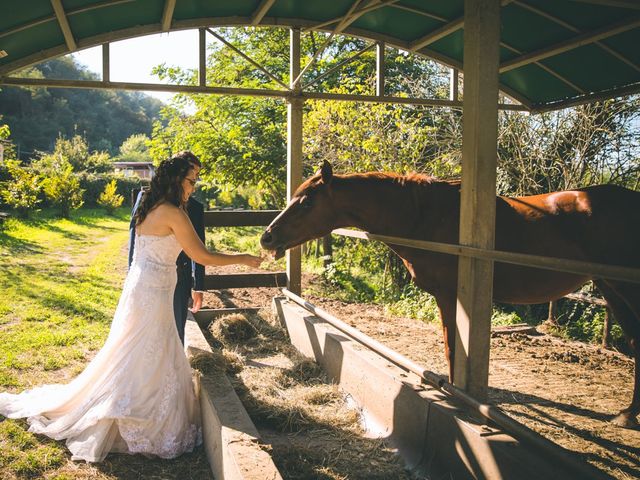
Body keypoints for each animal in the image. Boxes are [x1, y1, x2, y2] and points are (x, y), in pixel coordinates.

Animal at [258, 161, 640, 428]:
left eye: (307, 202)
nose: (267, 237)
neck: (422, 216)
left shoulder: (449, 296)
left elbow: (453, 346)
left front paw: (457, 397)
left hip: (624, 288)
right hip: (611, 289)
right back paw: (627, 414)